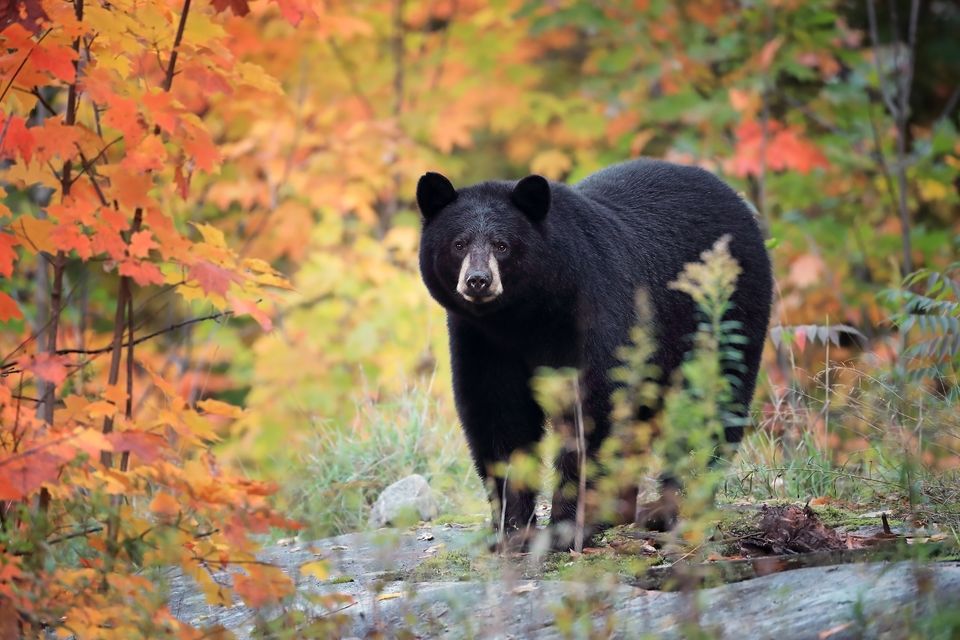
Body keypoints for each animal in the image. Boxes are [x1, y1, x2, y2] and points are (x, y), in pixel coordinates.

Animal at [414, 159, 772, 544]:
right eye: (459, 243)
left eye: (502, 245)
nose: (478, 280)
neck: (524, 315)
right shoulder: (482, 340)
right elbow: (498, 413)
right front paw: (512, 527)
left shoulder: (594, 310)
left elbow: (594, 406)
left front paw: (569, 524)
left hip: (725, 314)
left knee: (713, 401)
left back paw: (675, 507)